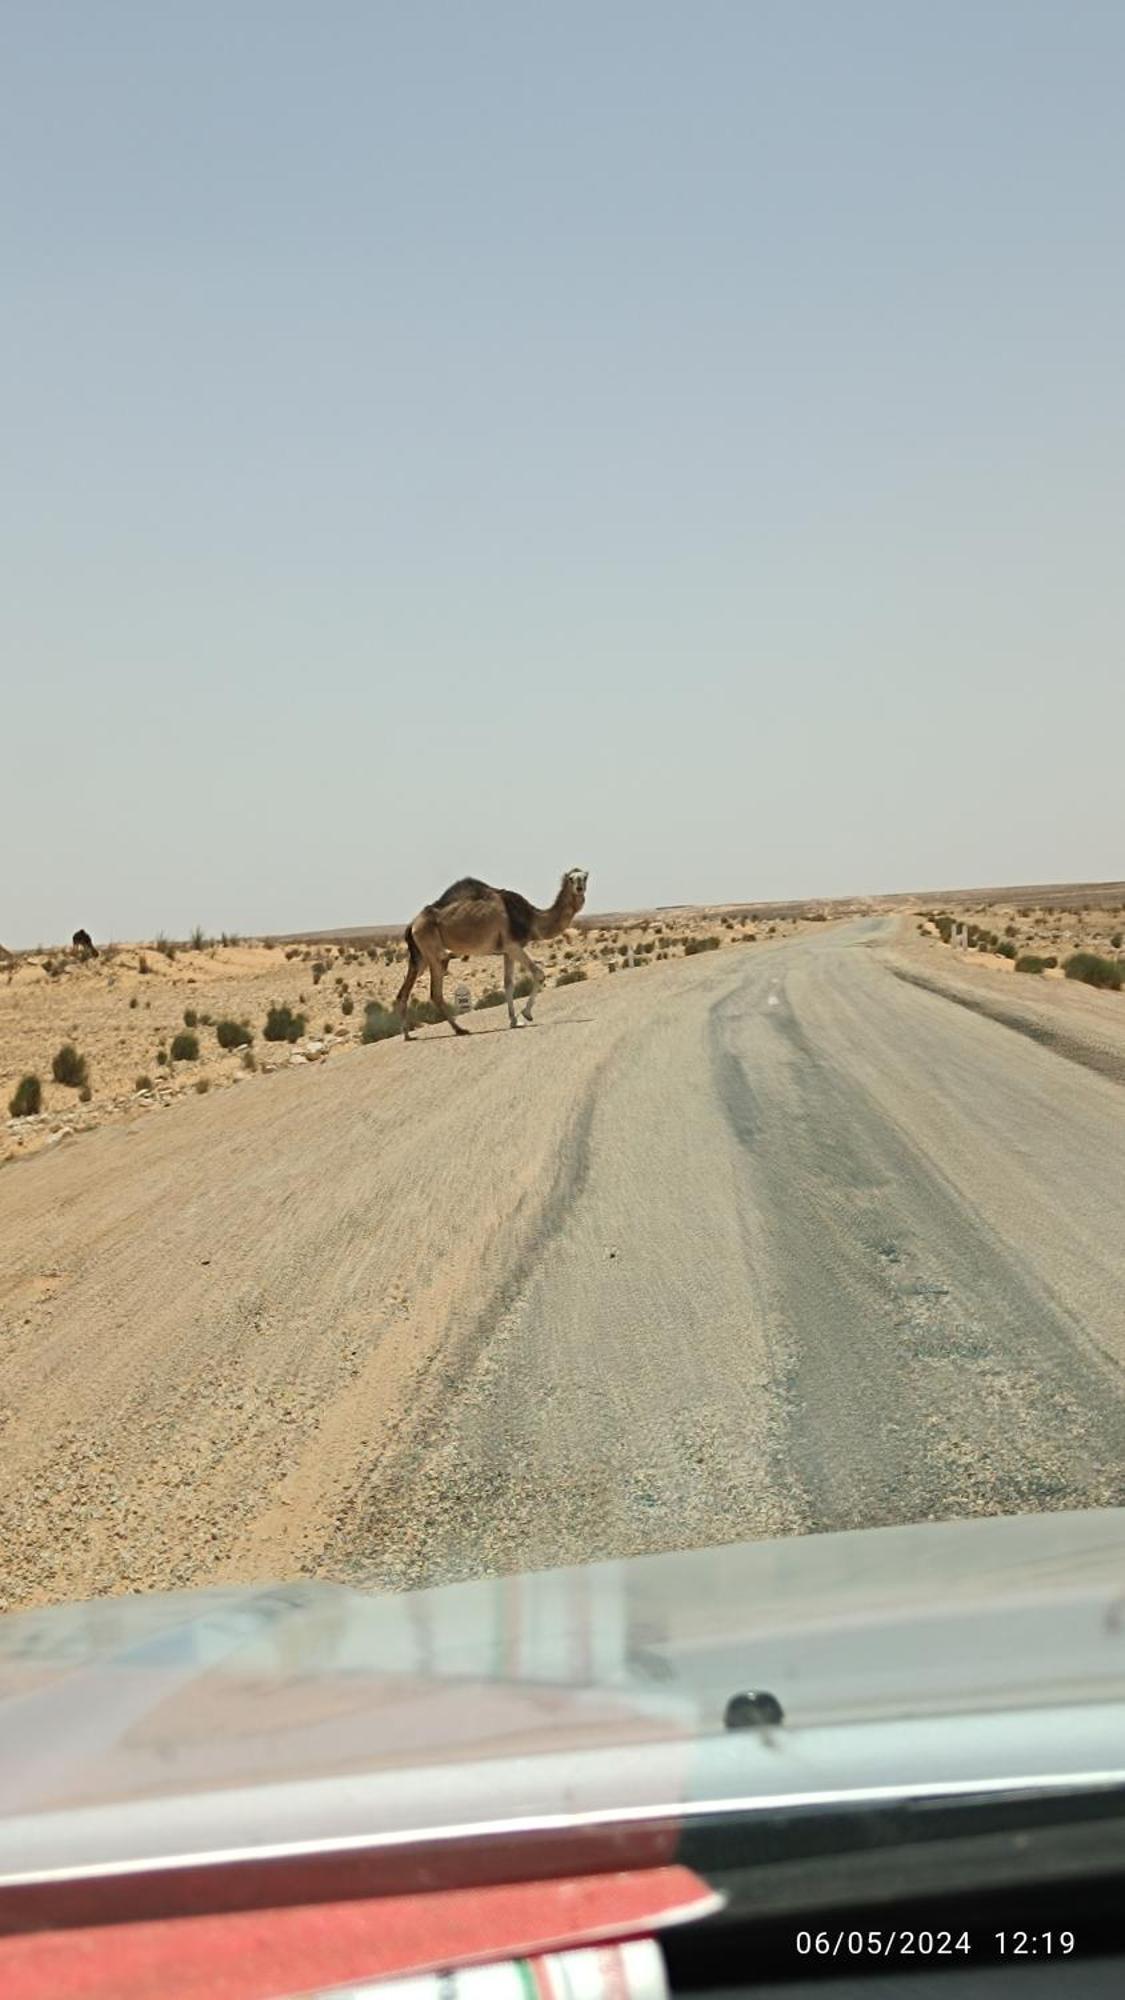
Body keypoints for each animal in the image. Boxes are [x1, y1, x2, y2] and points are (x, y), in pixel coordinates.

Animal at [392, 868, 588, 1040]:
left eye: (585, 877)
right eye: (572, 878)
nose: (579, 888)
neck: (531, 919)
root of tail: (412, 924)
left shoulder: (508, 950)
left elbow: (508, 983)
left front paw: (514, 1021)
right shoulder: (513, 945)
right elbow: (538, 973)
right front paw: (526, 1014)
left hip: (420, 956)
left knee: (404, 992)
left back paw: (408, 1035)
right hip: (434, 953)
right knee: (435, 993)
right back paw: (460, 1029)